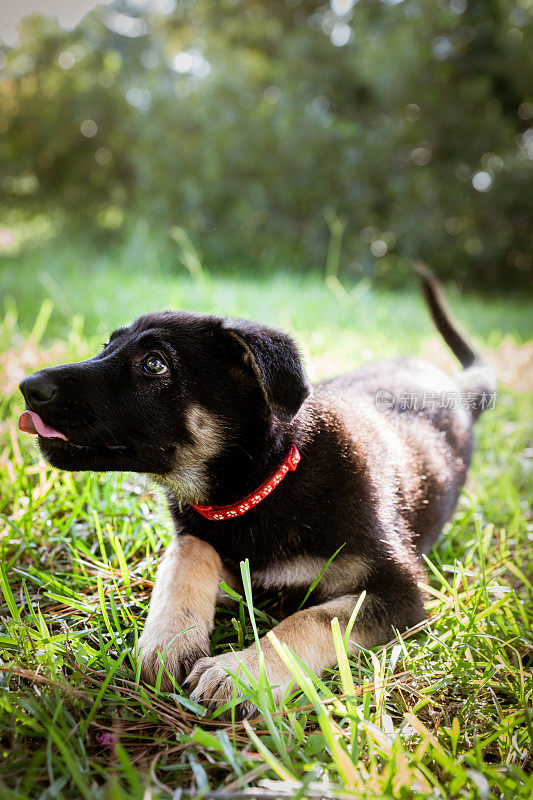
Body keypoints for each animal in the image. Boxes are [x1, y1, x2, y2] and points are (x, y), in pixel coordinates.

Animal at [18, 268, 496, 712]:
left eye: (154, 364)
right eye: (106, 346)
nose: (27, 387)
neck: (265, 485)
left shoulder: (401, 593)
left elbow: (312, 619)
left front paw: (242, 672)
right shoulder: (205, 540)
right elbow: (187, 555)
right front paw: (169, 638)